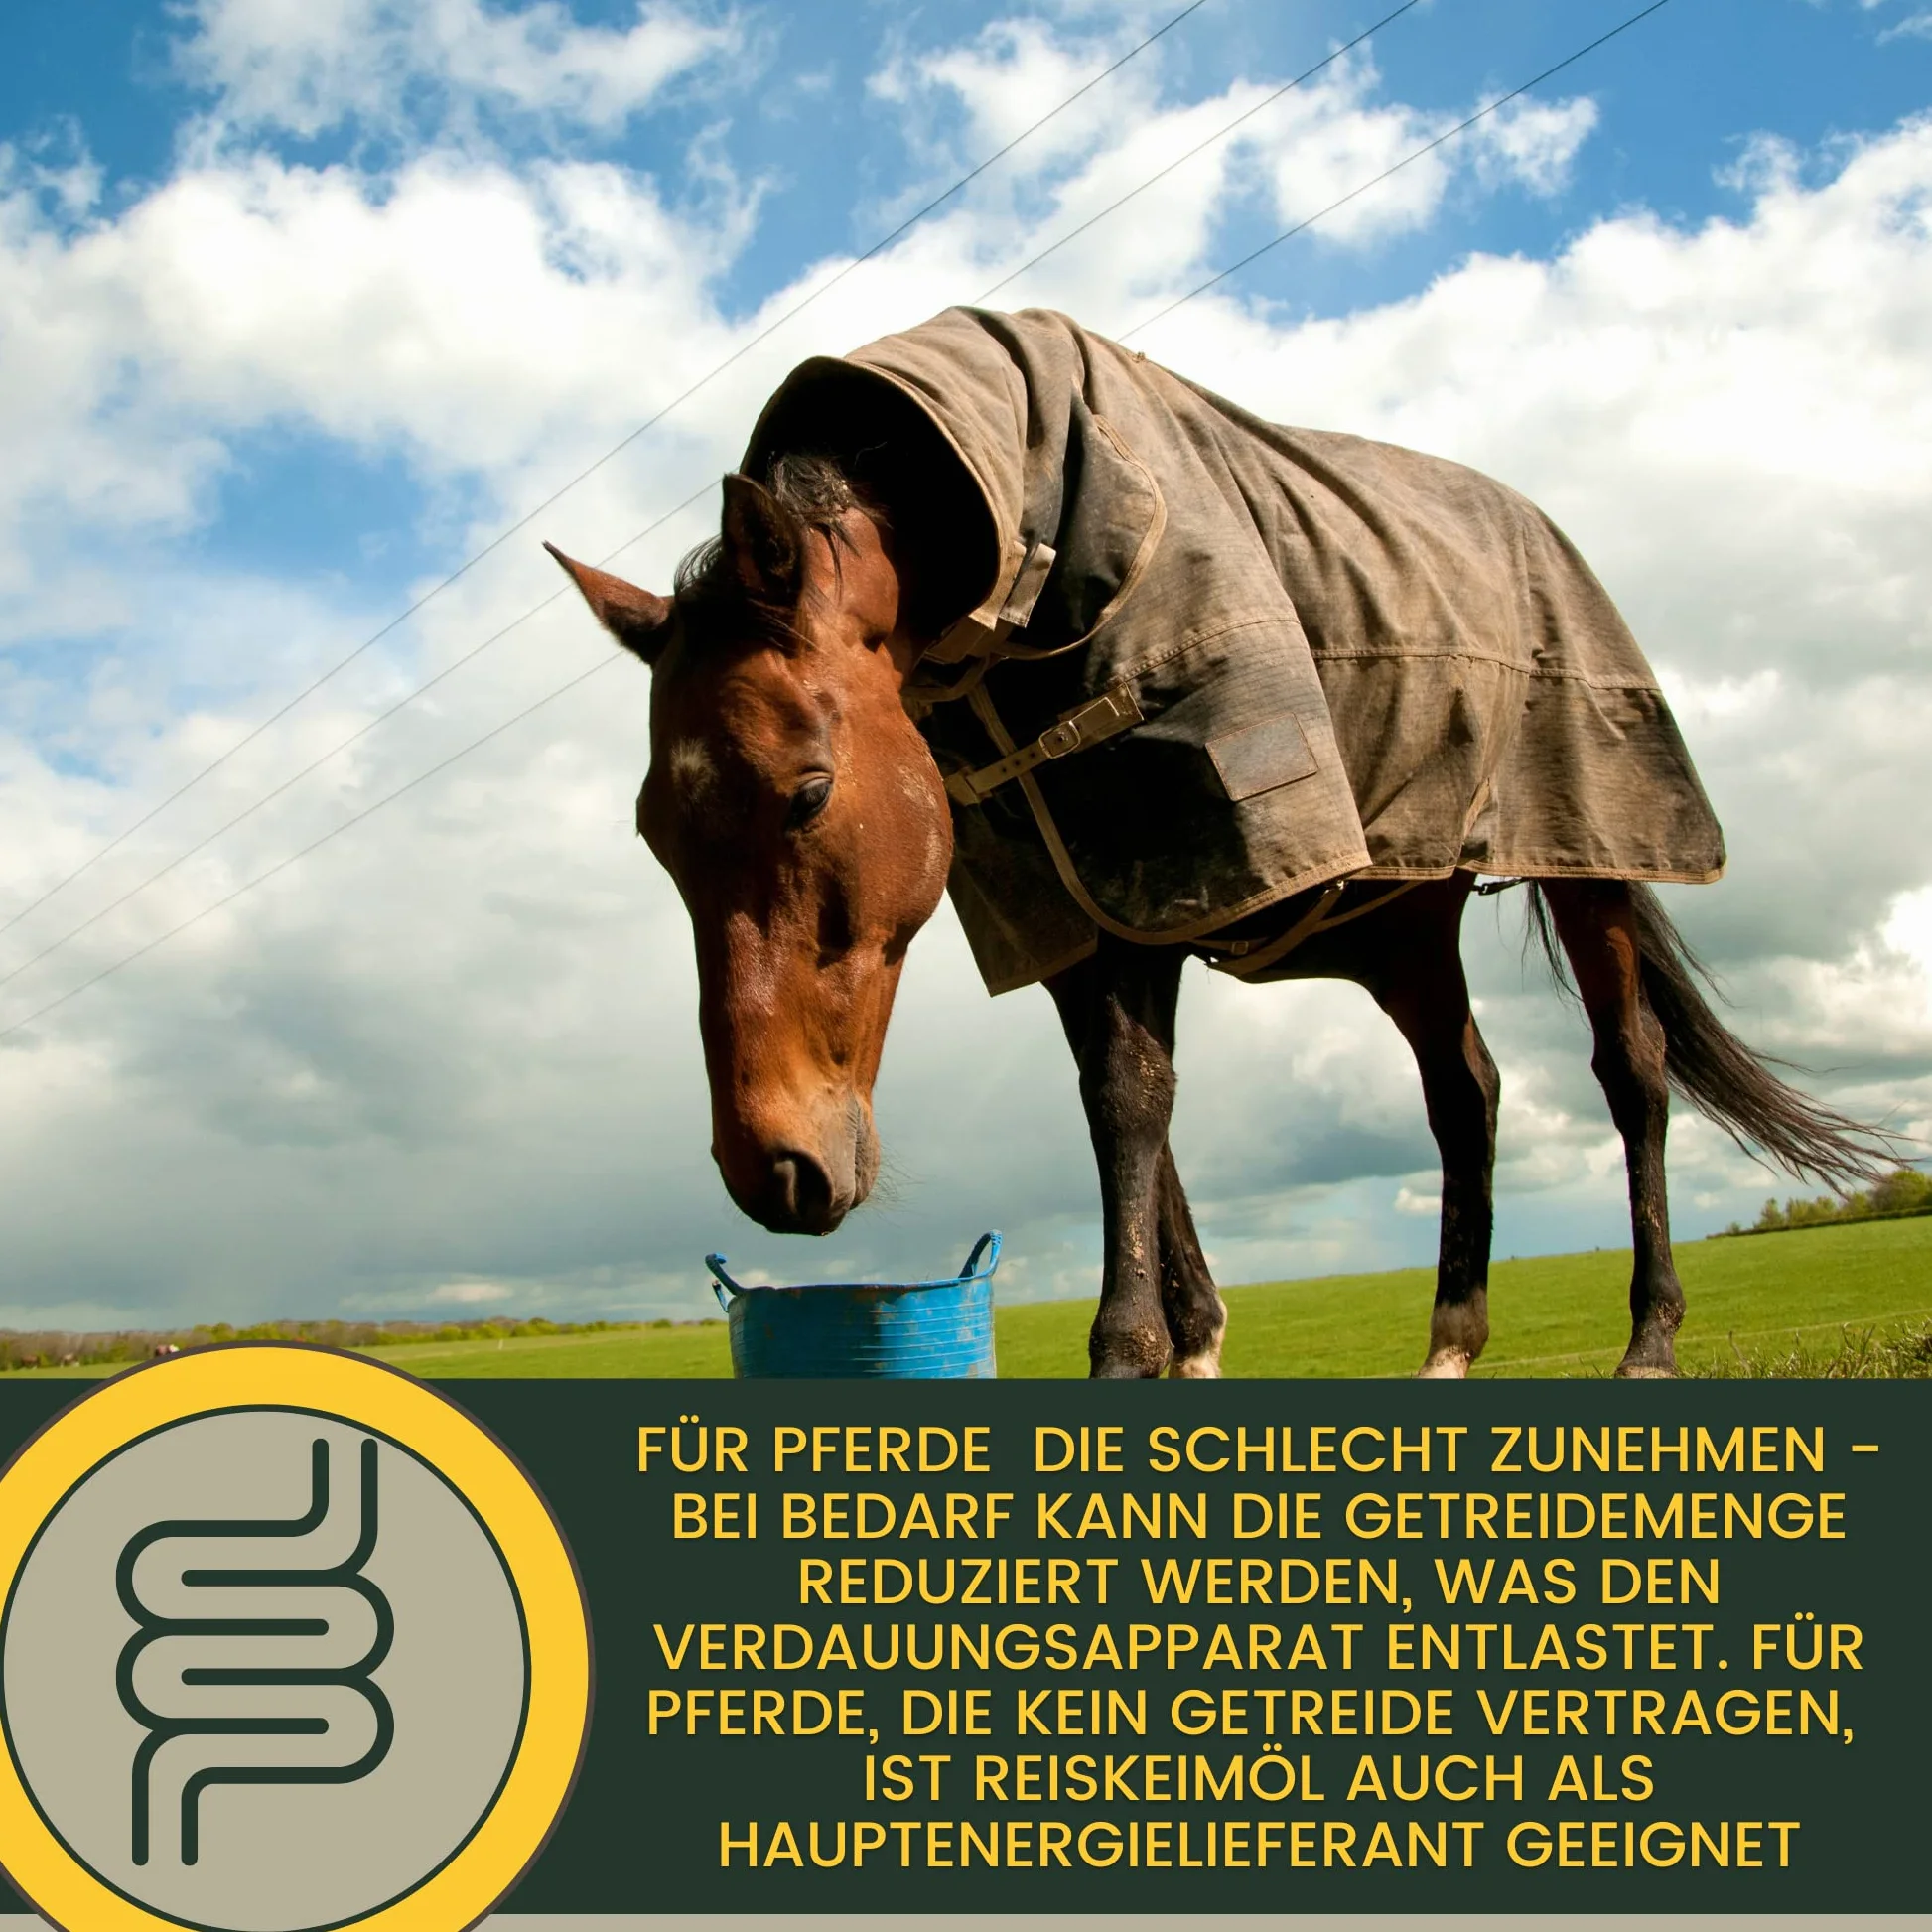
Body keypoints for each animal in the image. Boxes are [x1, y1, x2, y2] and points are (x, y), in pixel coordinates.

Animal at [546, 321, 1880, 1381]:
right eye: (655, 836)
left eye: (809, 792)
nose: (770, 1168)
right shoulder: (1083, 904)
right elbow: (1128, 1106)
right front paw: (1188, 1350)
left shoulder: (1172, 854)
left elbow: (1130, 1102)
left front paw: (1125, 1354)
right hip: (1401, 925)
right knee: (1465, 1092)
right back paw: (1448, 1346)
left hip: (1590, 862)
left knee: (1630, 1074)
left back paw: (1647, 1340)